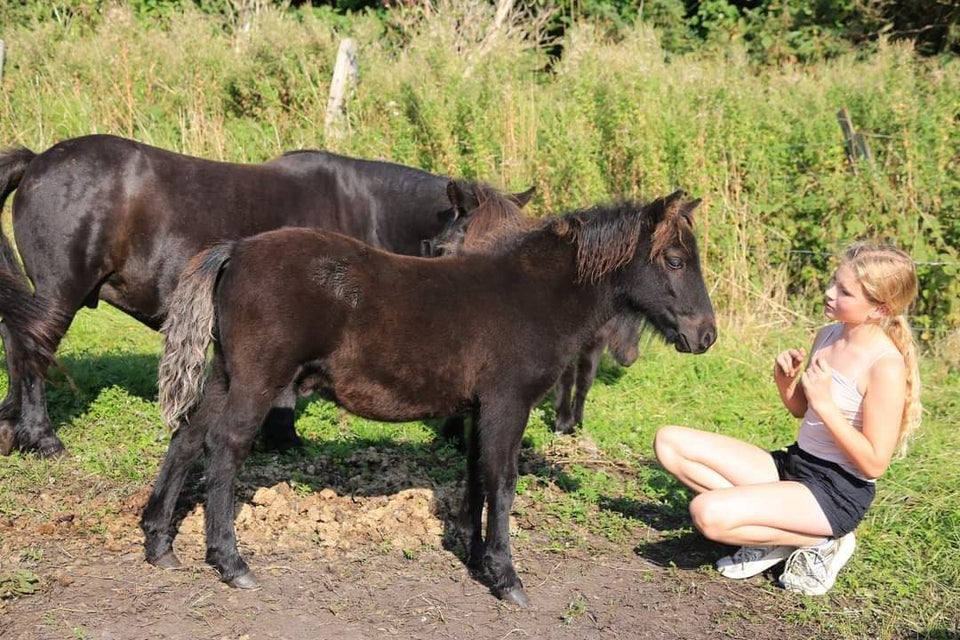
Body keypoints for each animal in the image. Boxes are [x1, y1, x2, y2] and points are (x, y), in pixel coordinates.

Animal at [0, 134, 532, 456]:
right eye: (448, 251)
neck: (368, 209)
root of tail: (38, 161)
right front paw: (284, 440)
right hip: (59, 295)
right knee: (32, 352)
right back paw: (42, 438)